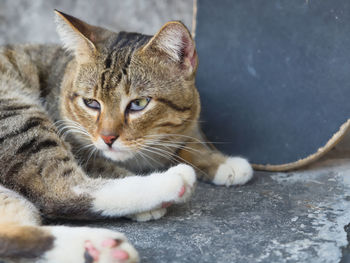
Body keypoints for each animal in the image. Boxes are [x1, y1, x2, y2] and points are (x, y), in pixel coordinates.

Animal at [0, 10, 253, 263]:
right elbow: (105, 166)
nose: (107, 138)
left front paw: (220, 162)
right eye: (91, 103)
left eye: (139, 104)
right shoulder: (75, 141)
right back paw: (170, 183)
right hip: (17, 114)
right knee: (58, 191)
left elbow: (187, 142)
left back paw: (98, 248)